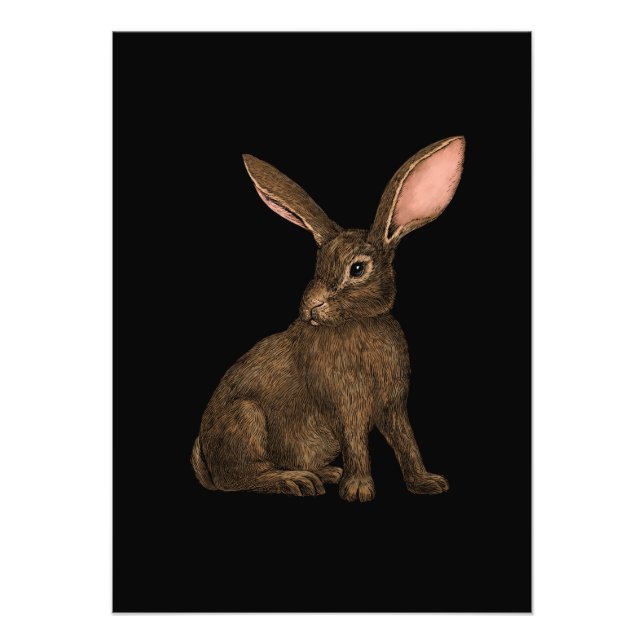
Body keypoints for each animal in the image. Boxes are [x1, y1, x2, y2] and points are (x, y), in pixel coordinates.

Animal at [191, 136, 465, 502]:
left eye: (358, 269)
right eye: (317, 264)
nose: (310, 307)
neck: (357, 322)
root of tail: (209, 465)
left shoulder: (393, 405)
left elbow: (406, 441)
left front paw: (427, 482)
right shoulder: (346, 403)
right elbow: (356, 442)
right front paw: (359, 490)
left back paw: (325, 473)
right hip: (246, 420)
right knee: (243, 479)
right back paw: (296, 481)